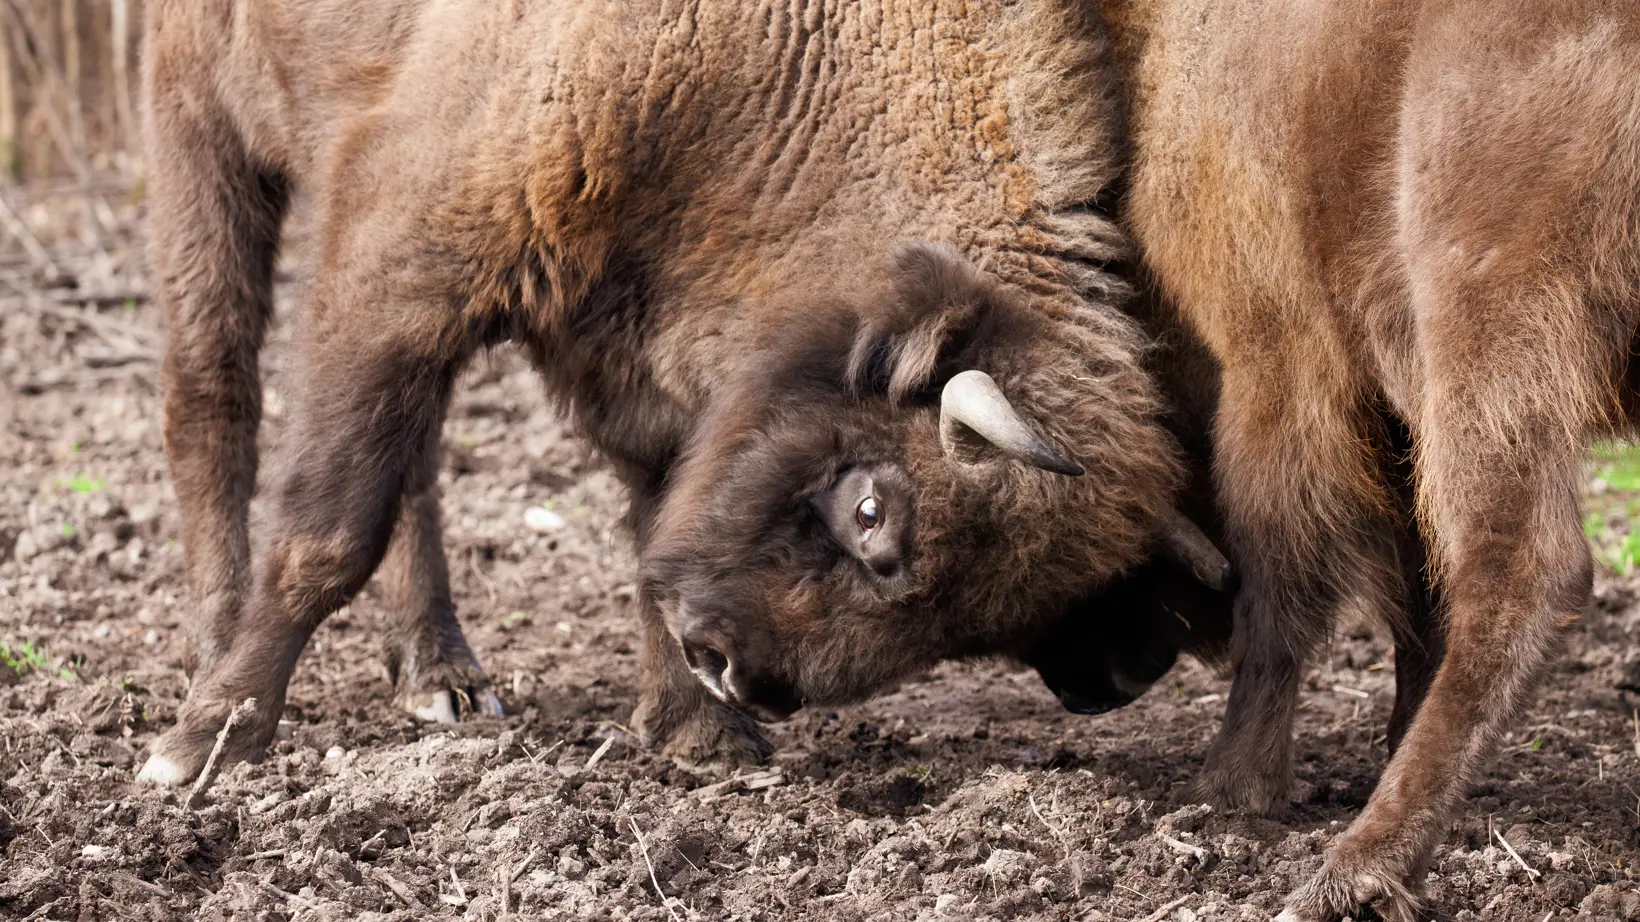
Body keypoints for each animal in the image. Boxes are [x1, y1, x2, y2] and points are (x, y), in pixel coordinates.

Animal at [137, 0, 1230, 786]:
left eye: (976, 626)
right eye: (872, 510)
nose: (737, 670)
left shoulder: (645, 358)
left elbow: (646, 519)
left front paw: (697, 735)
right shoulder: (405, 248)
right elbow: (328, 533)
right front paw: (206, 743)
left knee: (413, 462)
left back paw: (442, 676)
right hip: (203, 138)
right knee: (212, 399)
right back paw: (212, 653)